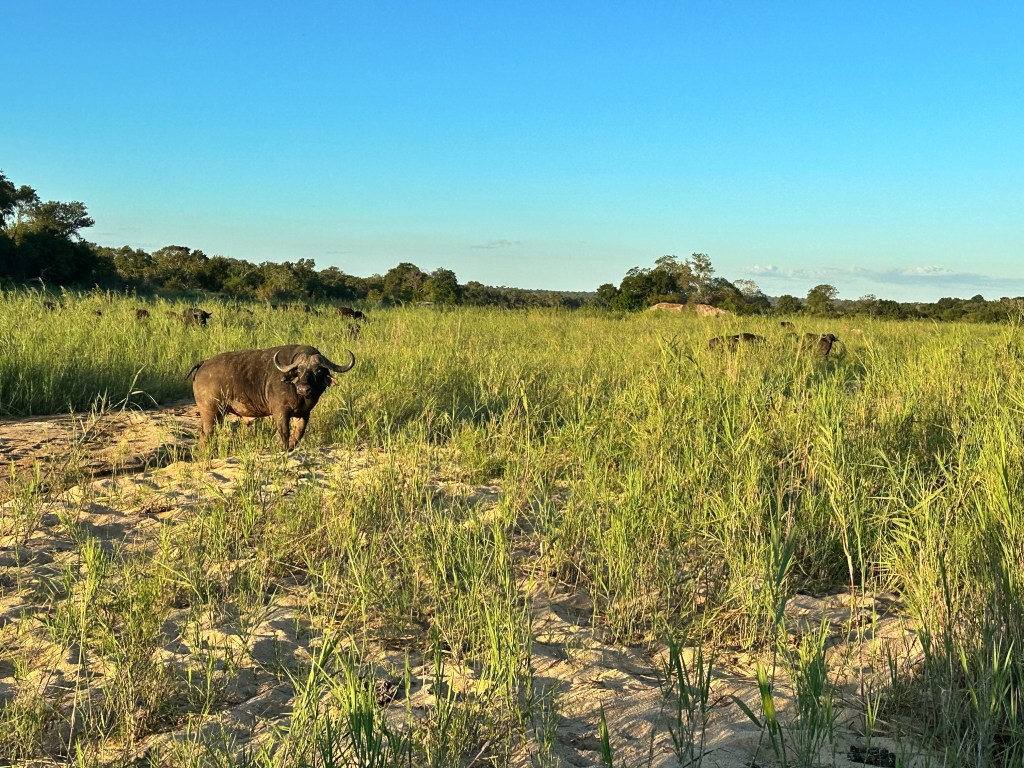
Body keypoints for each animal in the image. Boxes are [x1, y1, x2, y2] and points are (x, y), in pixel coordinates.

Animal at [188, 344, 355, 451]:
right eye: (299, 370)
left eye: (318, 371)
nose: (303, 388)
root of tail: (204, 364)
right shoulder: (280, 412)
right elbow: (284, 432)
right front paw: (283, 448)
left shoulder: (305, 414)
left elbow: (299, 433)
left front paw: (291, 447)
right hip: (211, 412)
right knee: (207, 434)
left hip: (218, 414)